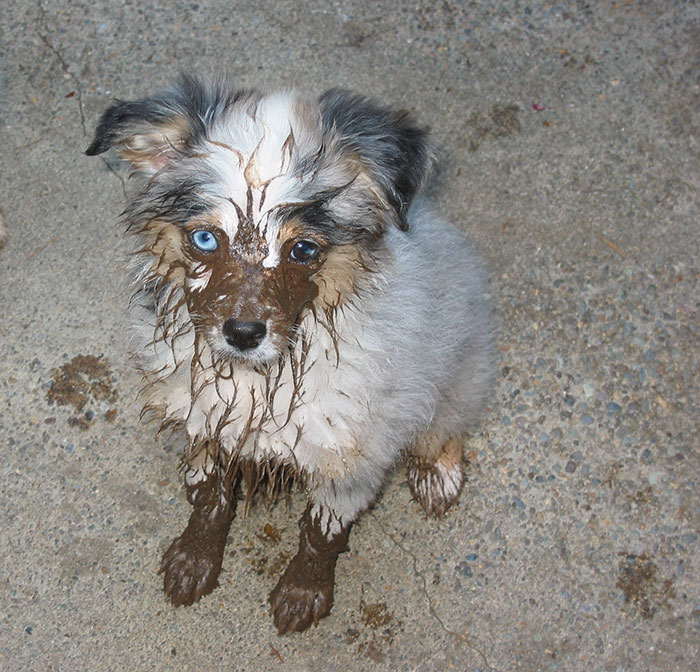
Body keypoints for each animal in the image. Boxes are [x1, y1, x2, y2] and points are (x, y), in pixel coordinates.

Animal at [86, 75, 492, 636]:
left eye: (303, 250)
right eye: (205, 238)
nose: (242, 333)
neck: (260, 376)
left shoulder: (351, 454)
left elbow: (321, 533)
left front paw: (303, 593)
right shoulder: (205, 416)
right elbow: (209, 499)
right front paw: (193, 560)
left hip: (455, 360)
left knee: (448, 419)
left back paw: (436, 473)